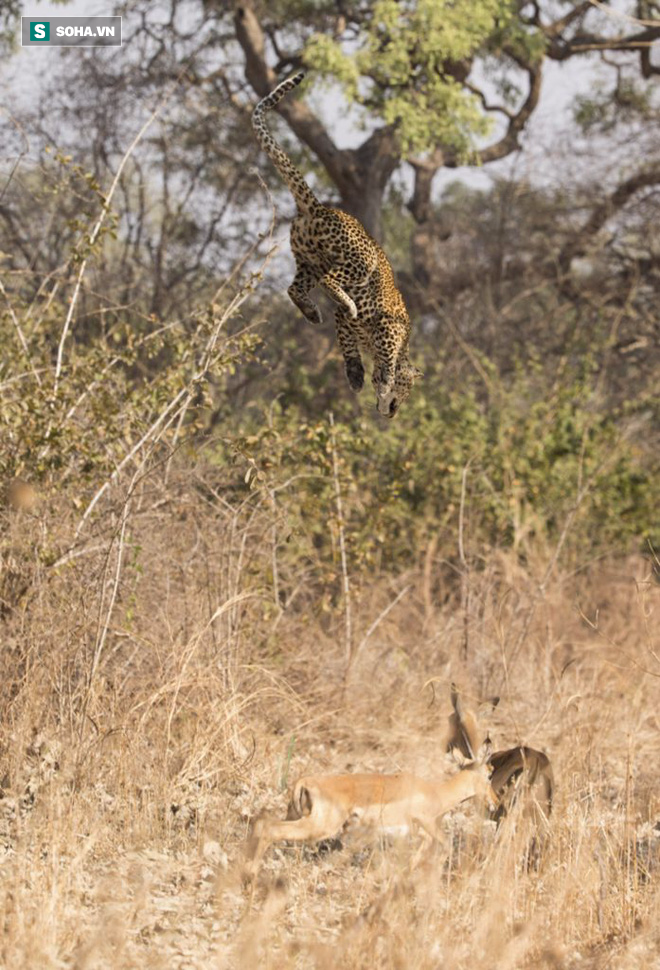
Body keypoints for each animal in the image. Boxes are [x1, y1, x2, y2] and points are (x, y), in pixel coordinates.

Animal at [245, 740, 498, 876]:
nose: (495, 802)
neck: (436, 792)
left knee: (261, 823)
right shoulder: (426, 824)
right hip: (319, 826)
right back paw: (252, 873)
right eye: (489, 773)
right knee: (270, 829)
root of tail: (305, 782)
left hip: (297, 816)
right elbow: (445, 844)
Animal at [250, 68, 420, 416]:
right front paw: (383, 380)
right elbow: (382, 355)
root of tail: (318, 208)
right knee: (332, 281)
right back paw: (347, 303)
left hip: (307, 261)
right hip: (358, 262)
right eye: (408, 392)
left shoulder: (345, 326)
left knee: (294, 289)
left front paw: (357, 376)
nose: (394, 412)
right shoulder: (389, 329)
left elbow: (347, 345)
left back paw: (313, 313)